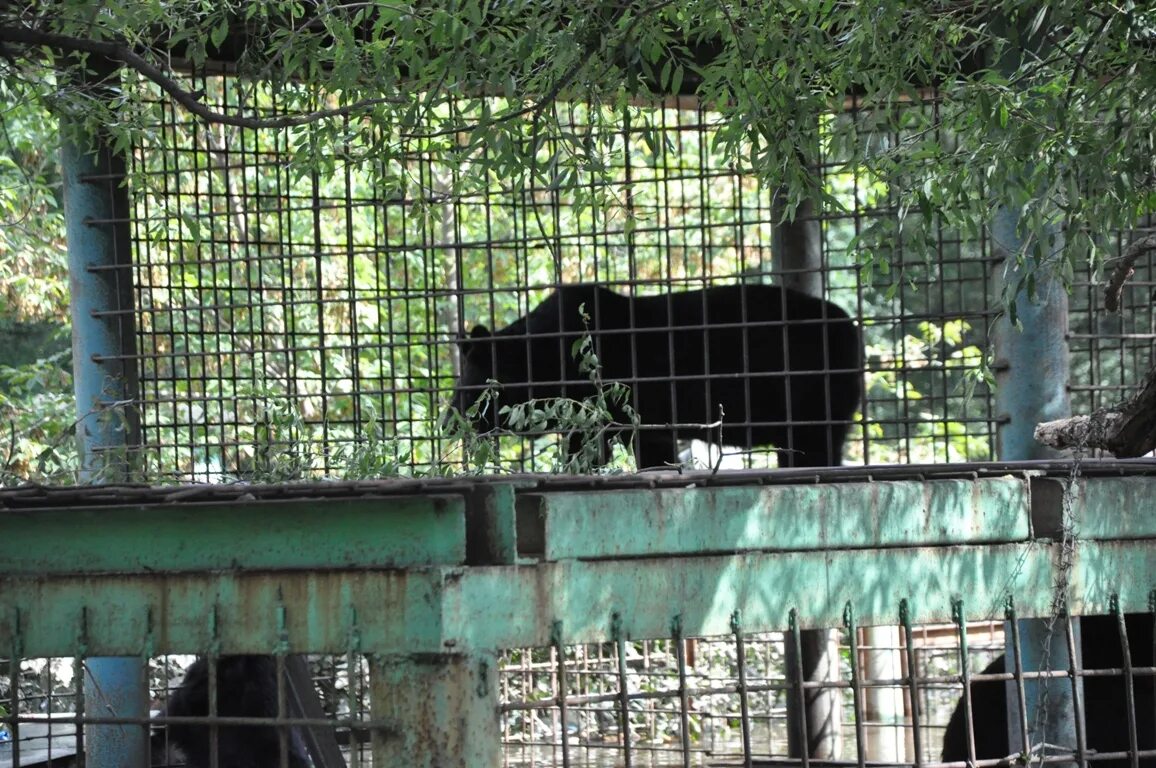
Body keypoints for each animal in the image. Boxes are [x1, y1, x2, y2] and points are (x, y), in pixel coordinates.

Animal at [446, 282, 864, 467]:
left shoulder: (616, 416)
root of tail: (851, 328)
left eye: (466, 385)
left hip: (812, 414)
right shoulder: (617, 424)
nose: (447, 421)